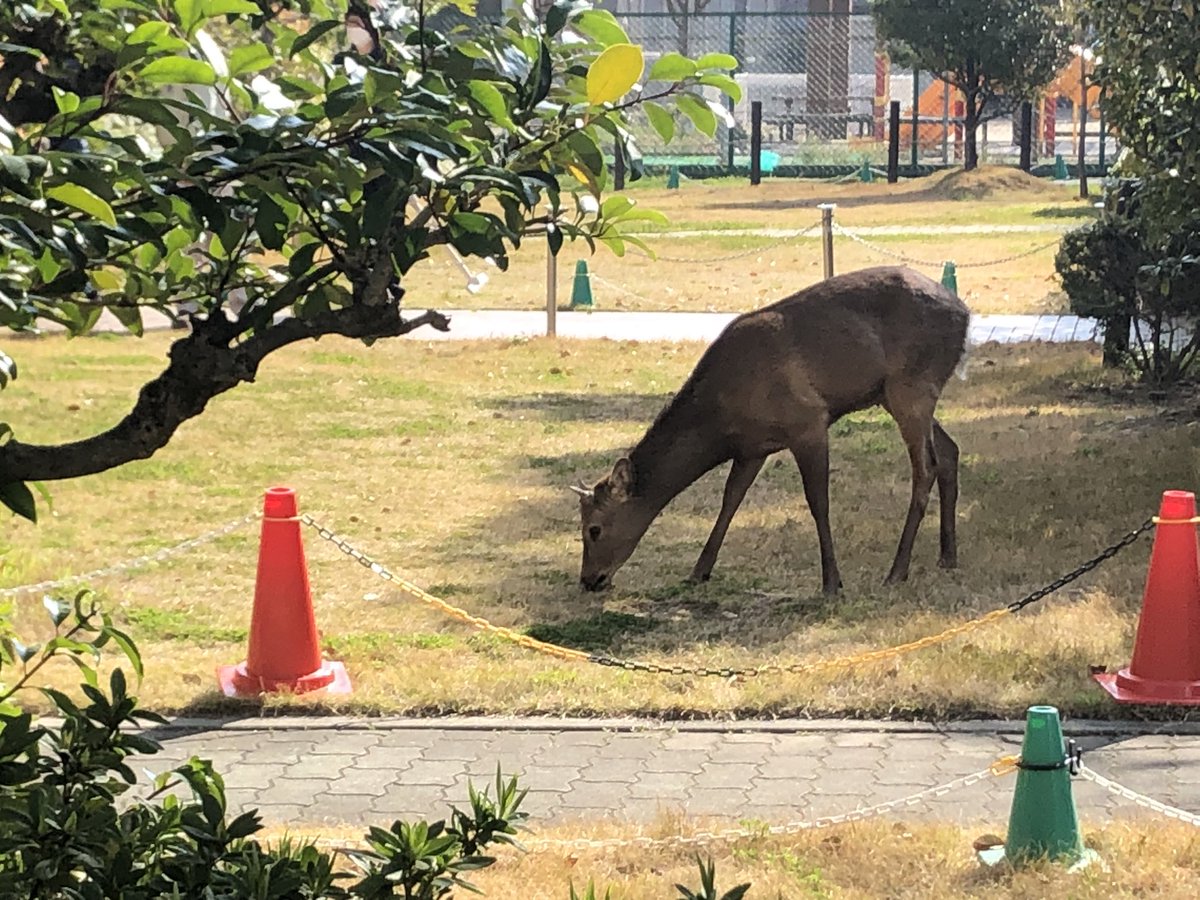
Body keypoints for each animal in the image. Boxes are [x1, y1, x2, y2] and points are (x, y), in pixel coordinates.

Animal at [572, 266, 970, 595]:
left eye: (594, 528)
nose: (589, 580)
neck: (720, 420)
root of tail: (965, 315)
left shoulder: (808, 422)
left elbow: (818, 502)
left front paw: (831, 582)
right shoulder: (753, 448)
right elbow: (730, 499)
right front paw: (699, 571)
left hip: (912, 384)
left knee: (926, 467)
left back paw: (897, 571)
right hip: (895, 392)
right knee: (949, 451)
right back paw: (948, 556)